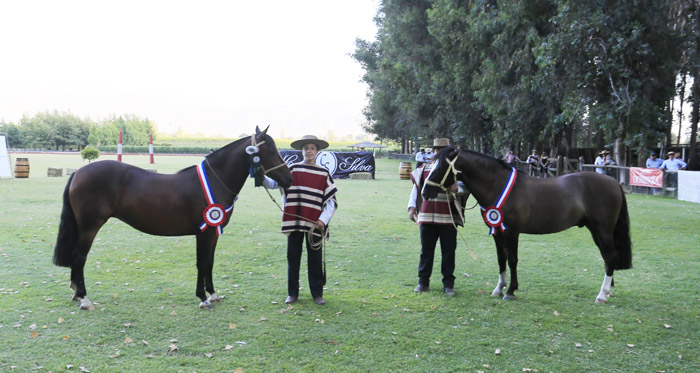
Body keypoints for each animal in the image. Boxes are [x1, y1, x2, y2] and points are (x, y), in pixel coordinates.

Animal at [53, 126, 292, 310]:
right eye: (270, 151)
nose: (288, 179)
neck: (215, 180)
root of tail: (78, 172)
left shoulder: (213, 234)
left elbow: (210, 263)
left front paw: (213, 294)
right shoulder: (204, 233)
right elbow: (201, 263)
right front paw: (203, 298)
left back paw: (76, 293)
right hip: (89, 227)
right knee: (79, 257)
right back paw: (84, 298)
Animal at [422, 147, 636, 304]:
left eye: (440, 167)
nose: (424, 192)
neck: (498, 186)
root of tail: (614, 182)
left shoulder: (511, 232)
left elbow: (512, 260)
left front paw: (510, 291)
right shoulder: (498, 232)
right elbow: (501, 259)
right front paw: (498, 289)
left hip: (603, 230)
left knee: (610, 257)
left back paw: (602, 295)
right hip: (595, 230)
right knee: (607, 258)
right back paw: (608, 291)